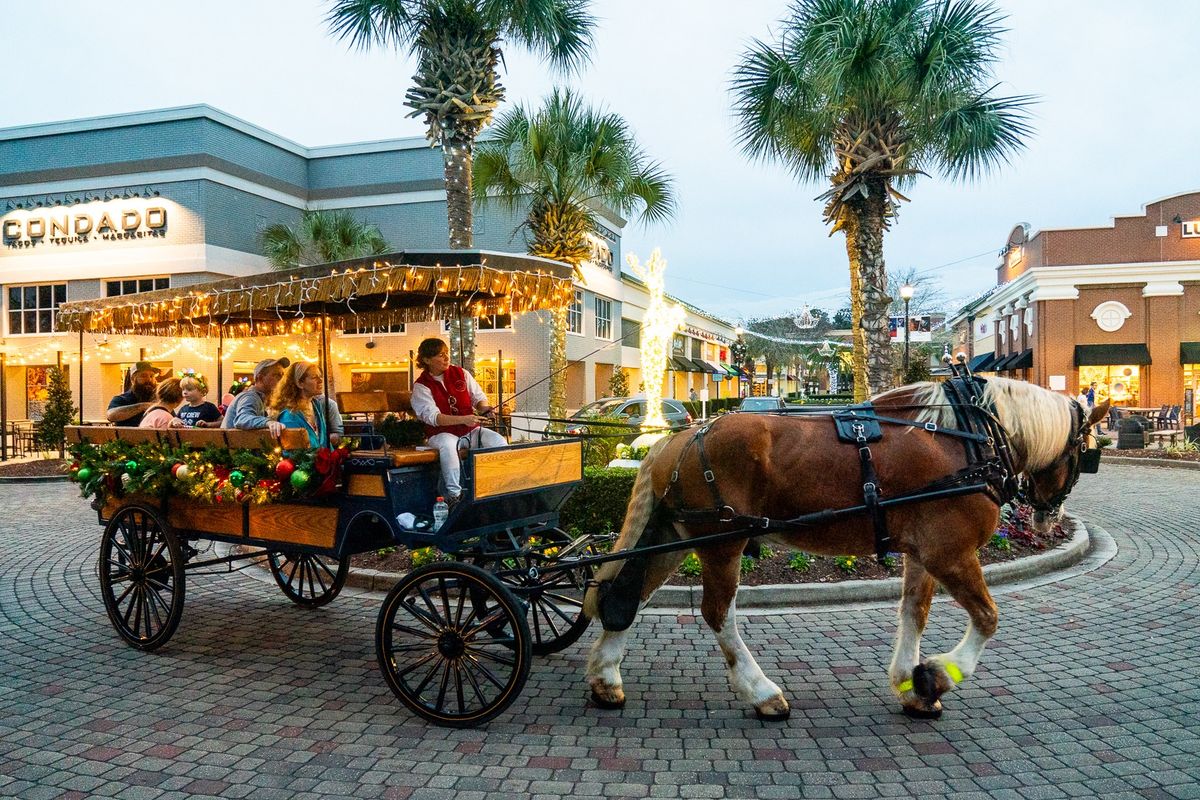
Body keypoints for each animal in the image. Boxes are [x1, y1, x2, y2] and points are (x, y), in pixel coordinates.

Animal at [580, 379, 1104, 724]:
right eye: (1086, 453)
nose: (1048, 516)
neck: (969, 440)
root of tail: (681, 437)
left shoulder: (923, 554)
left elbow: (914, 612)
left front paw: (911, 685)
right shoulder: (951, 553)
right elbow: (988, 619)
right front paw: (935, 676)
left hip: (675, 536)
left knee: (627, 596)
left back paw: (606, 680)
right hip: (722, 543)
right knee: (716, 613)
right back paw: (761, 691)